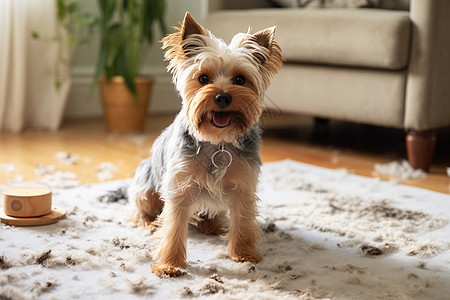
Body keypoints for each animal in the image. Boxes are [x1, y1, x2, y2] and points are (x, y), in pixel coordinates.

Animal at [127, 13, 282, 276]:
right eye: (203, 78)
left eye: (240, 79)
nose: (222, 97)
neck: (218, 142)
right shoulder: (179, 186)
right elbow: (174, 227)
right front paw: (170, 264)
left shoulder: (243, 184)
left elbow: (243, 219)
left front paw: (243, 253)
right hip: (147, 184)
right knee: (141, 206)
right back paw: (149, 223)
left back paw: (211, 225)